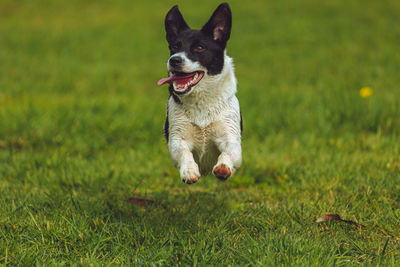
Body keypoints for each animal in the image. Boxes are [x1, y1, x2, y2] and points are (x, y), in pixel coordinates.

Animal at [158, 3, 242, 185]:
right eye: (174, 47)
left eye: (199, 47)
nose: (174, 60)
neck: (201, 100)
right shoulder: (176, 139)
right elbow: (184, 152)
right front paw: (189, 171)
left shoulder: (231, 138)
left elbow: (228, 151)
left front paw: (223, 167)